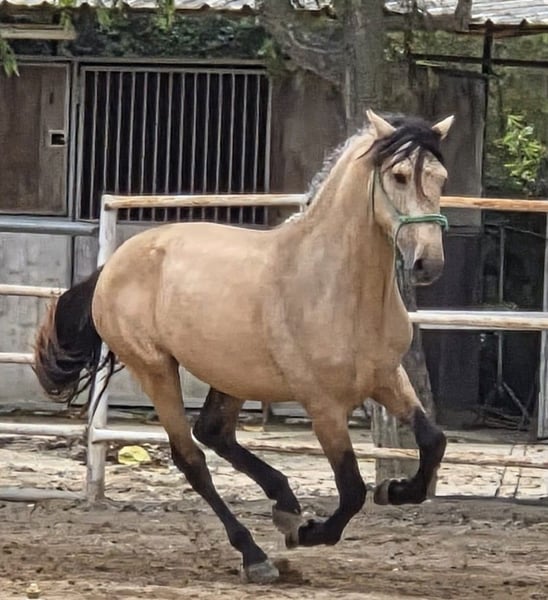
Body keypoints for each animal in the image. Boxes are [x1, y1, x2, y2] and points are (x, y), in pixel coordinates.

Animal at [34, 109, 453, 584]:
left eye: (440, 178)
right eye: (399, 176)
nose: (427, 264)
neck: (335, 286)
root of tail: (117, 262)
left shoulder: (386, 378)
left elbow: (432, 440)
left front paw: (394, 490)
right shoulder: (323, 404)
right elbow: (351, 490)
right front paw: (307, 532)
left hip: (232, 375)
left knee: (213, 432)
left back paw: (284, 504)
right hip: (154, 368)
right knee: (191, 456)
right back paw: (257, 555)